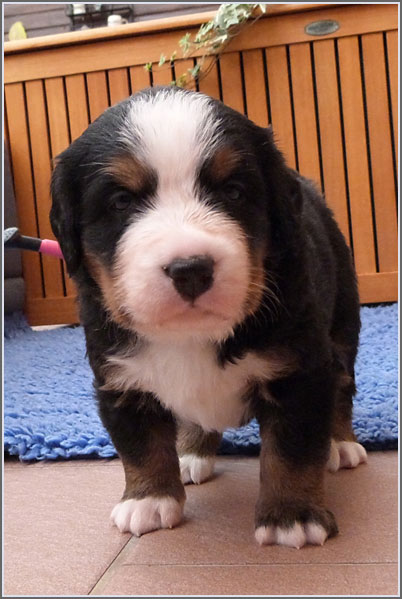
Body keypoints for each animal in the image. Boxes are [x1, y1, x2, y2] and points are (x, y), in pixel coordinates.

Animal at [50, 86, 367, 548]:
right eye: (121, 201)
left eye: (233, 192)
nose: (191, 269)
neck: (192, 336)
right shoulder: (120, 380)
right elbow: (140, 445)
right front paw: (149, 499)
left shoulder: (301, 371)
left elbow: (291, 449)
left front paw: (292, 515)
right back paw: (190, 451)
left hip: (342, 326)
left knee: (342, 387)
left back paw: (340, 445)